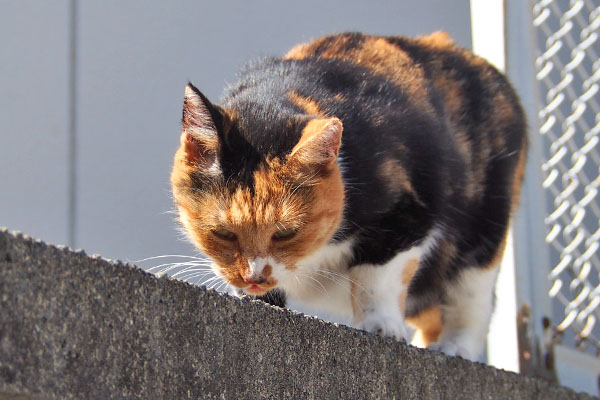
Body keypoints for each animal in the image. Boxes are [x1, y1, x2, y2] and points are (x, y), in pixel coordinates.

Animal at [170, 32, 524, 360]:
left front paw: (381, 326)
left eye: (285, 233)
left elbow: (376, 273)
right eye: (223, 233)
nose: (254, 276)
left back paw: (455, 347)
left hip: (484, 228)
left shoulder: (414, 211)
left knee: (472, 298)